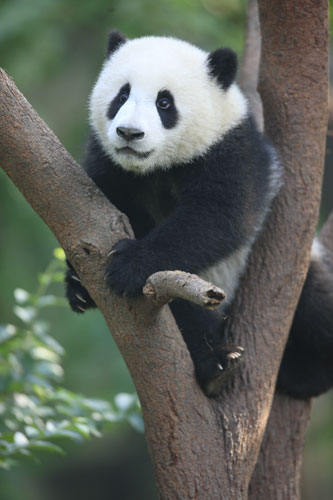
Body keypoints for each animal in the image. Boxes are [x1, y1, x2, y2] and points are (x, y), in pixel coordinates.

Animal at [65, 30, 332, 398]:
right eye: (122, 95)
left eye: (165, 103)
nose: (129, 134)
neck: (158, 166)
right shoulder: (111, 166)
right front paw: (79, 282)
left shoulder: (230, 152)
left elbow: (218, 220)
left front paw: (129, 264)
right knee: (184, 311)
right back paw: (216, 362)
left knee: (316, 308)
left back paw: (294, 371)